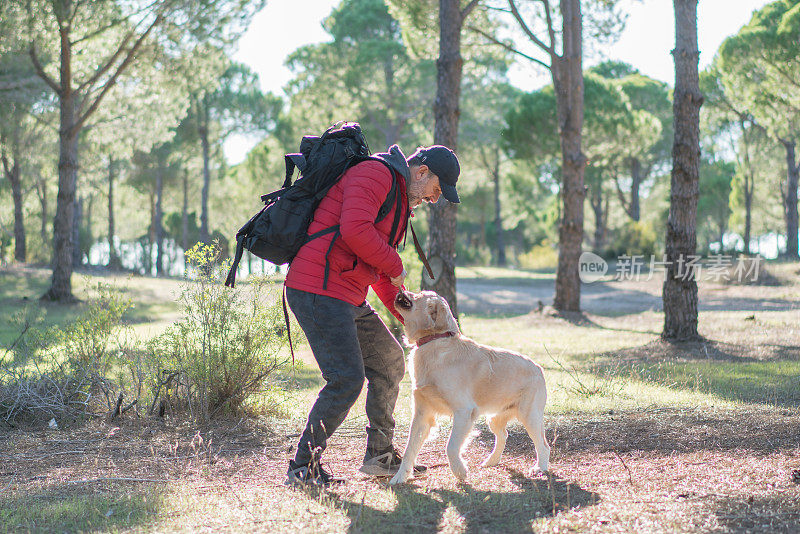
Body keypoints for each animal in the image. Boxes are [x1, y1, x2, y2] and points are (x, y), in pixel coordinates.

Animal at [390, 292, 552, 488]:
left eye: (420, 295)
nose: (401, 291)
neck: (435, 342)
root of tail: (538, 367)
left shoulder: (464, 411)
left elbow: (451, 446)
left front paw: (460, 471)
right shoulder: (421, 413)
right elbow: (409, 449)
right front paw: (400, 477)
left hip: (530, 416)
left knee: (543, 445)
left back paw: (540, 468)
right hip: (495, 418)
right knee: (503, 435)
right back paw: (491, 461)